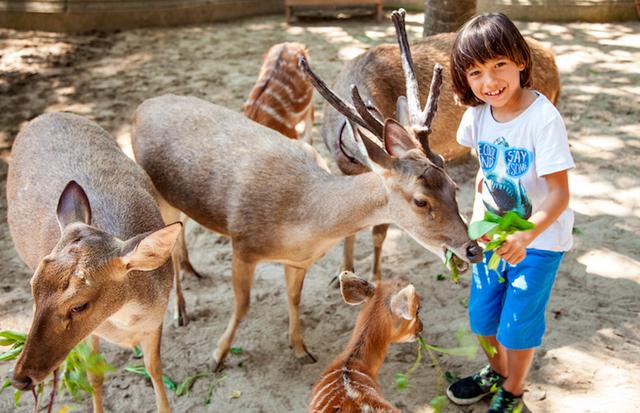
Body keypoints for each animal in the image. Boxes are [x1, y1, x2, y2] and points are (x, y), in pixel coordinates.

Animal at [6, 112, 182, 412]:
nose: (20, 378)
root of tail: (45, 115)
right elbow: (94, 377)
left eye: (79, 305)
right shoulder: (92, 335)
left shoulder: (154, 322)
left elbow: (155, 369)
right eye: (33, 288)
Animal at [320, 8, 560, 280]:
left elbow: (379, 232)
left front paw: (374, 279)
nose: (472, 251)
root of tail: (553, 60)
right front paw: (343, 272)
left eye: (453, 187)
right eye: (421, 201)